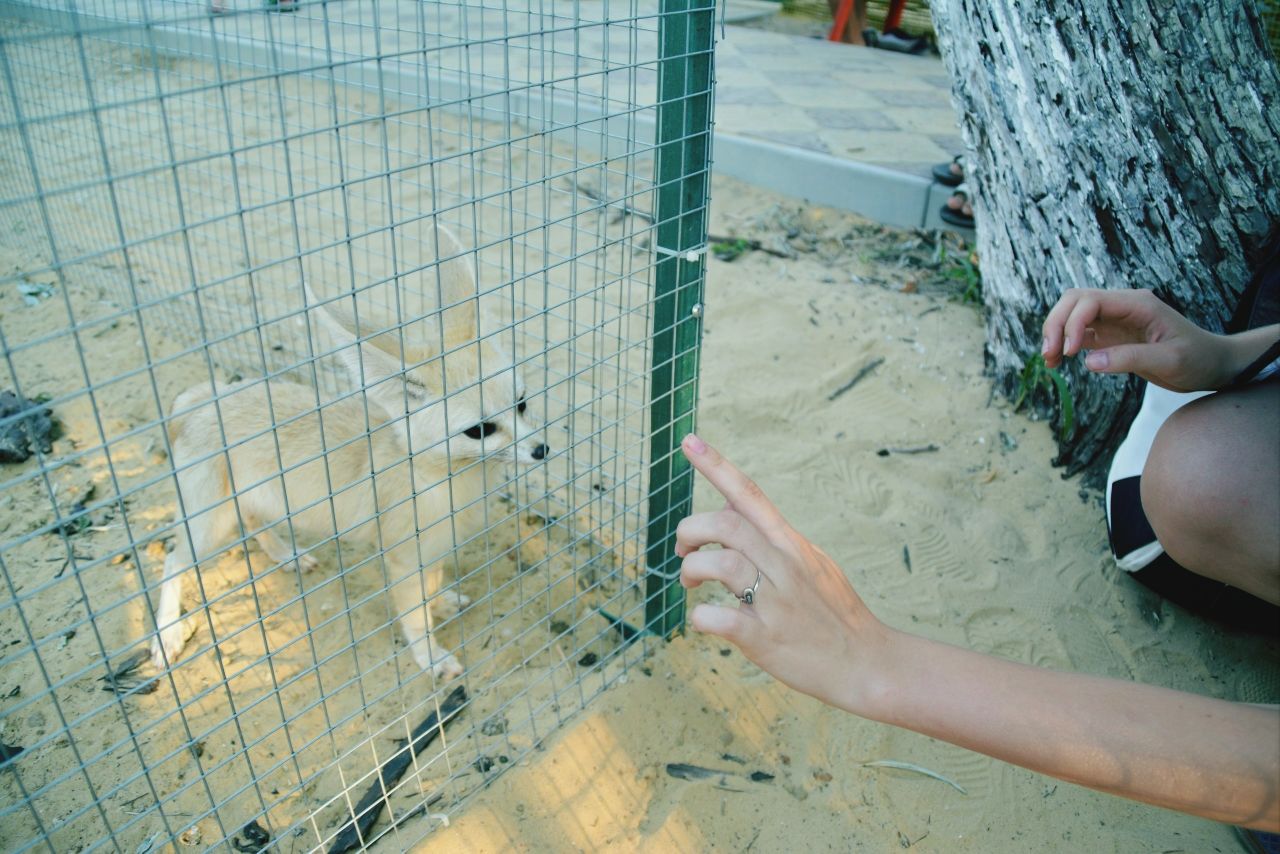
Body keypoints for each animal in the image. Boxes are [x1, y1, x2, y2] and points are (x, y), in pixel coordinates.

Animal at [149, 229, 545, 681]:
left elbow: (431, 587)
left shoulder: (432, 552)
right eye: (480, 431)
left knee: (252, 521)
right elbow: (414, 615)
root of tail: (198, 398)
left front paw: (441, 602)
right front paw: (430, 655)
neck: (440, 480)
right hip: (207, 529)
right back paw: (166, 634)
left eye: (522, 403)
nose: (542, 449)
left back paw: (286, 554)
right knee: (173, 559)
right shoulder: (404, 558)